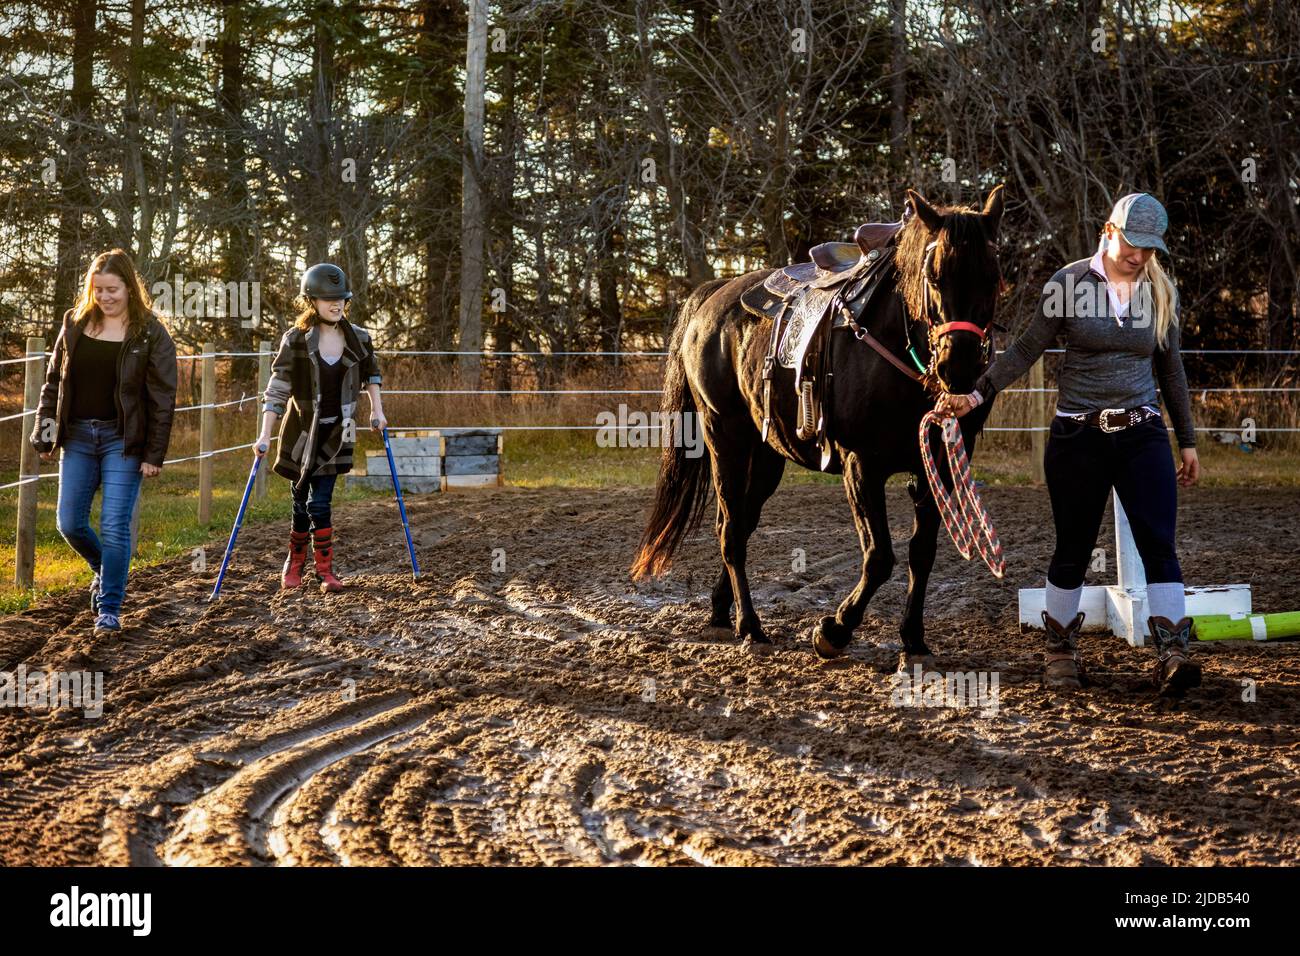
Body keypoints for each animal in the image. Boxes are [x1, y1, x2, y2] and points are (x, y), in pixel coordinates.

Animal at [629, 187, 1003, 665]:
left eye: (993, 276)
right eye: (934, 276)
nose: (960, 366)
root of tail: (712, 297)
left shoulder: (937, 465)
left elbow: (922, 553)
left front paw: (914, 639)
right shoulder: (861, 465)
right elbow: (880, 556)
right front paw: (835, 629)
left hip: (766, 455)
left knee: (742, 522)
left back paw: (721, 610)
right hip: (723, 436)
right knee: (730, 530)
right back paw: (750, 625)